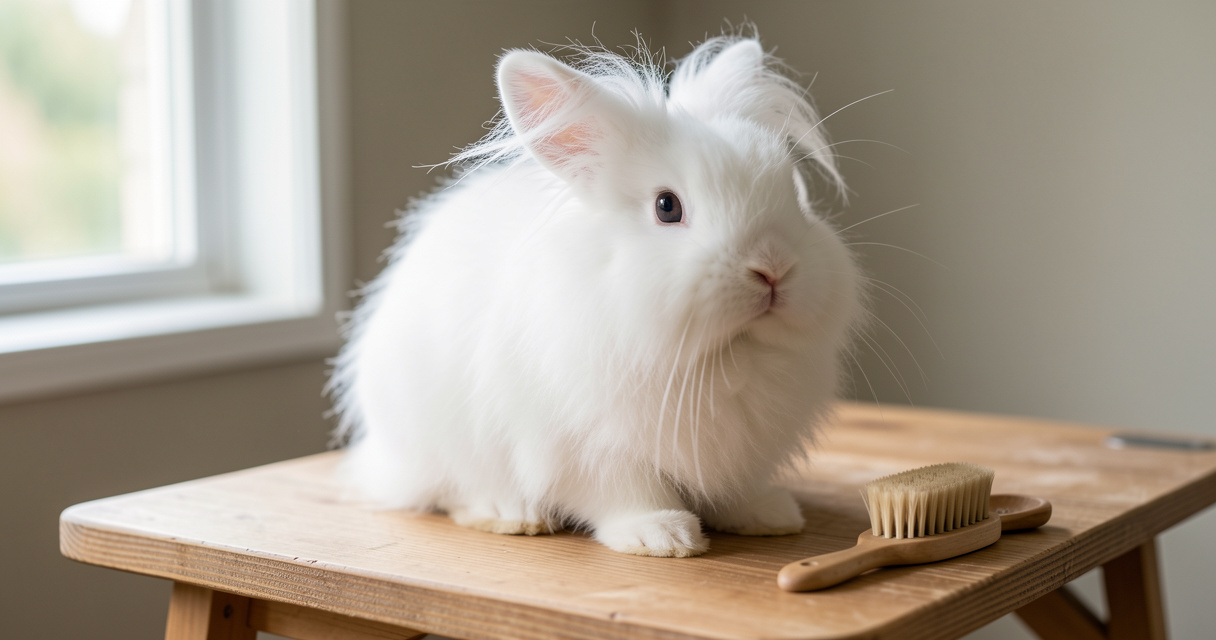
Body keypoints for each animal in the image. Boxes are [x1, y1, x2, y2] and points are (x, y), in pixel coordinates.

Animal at [328, 34, 864, 558]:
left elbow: (737, 490)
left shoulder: (744, 450)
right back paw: (512, 514)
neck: (725, 354)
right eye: (667, 207)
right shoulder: (589, 446)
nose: (773, 267)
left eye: (794, 195)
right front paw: (661, 535)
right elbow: (623, 492)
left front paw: (769, 515)